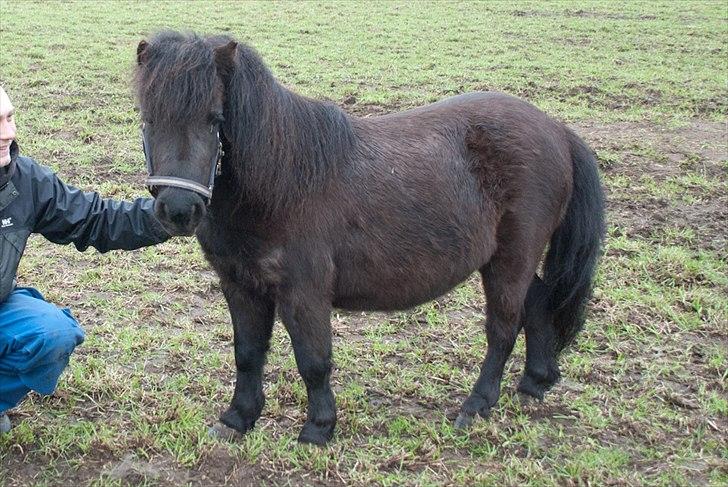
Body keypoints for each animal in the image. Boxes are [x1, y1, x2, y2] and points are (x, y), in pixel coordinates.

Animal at [135, 31, 604, 446]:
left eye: (216, 119)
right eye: (148, 119)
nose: (179, 210)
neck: (281, 183)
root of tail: (556, 129)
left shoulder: (304, 291)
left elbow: (314, 361)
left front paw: (318, 430)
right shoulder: (241, 286)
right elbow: (248, 354)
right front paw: (237, 419)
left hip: (512, 258)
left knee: (503, 329)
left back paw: (476, 406)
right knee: (538, 302)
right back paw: (534, 384)